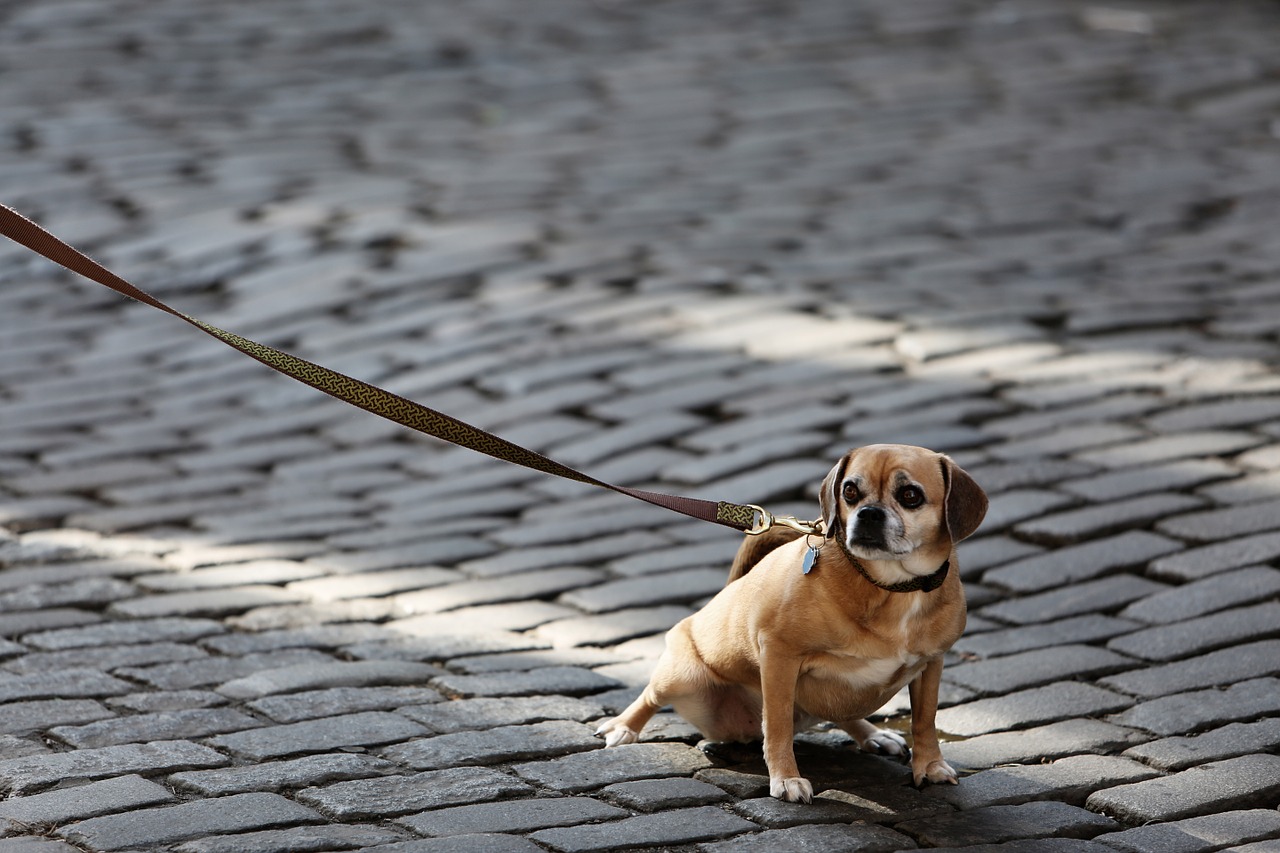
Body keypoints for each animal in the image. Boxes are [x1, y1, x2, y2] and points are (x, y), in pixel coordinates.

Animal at [596, 445, 988, 799]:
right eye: (850, 491)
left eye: (910, 496)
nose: (868, 513)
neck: (890, 587)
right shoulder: (779, 656)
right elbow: (778, 724)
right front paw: (785, 778)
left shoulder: (931, 664)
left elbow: (925, 720)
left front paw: (930, 766)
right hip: (682, 677)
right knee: (649, 695)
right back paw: (622, 728)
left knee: (843, 712)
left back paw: (874, 735)